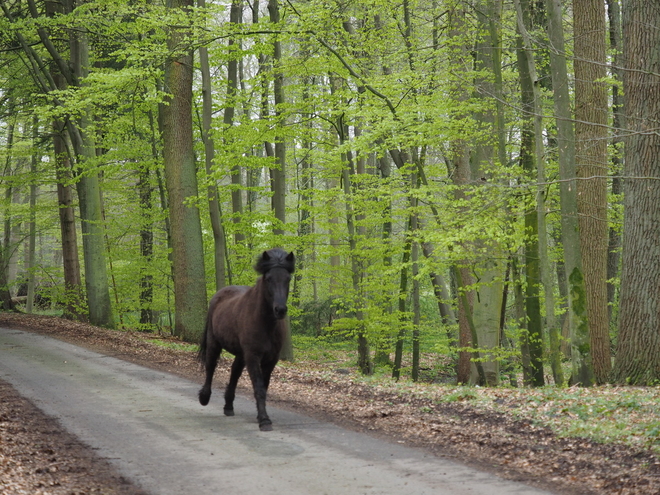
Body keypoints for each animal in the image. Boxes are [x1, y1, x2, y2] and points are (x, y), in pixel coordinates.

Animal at [197, 250, 296, 432]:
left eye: (288, 278)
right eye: (268, 278)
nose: (280, 310)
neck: (265, 323)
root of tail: (219, 295)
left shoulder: (271, 359)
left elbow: (264, 386)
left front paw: (261, 416)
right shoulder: (253, 356)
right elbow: (258, 387)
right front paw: (264, 420)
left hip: (241, 354)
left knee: (234, 372)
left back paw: (228, 406)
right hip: (215, 343)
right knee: (210, 366)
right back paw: (204, 397)